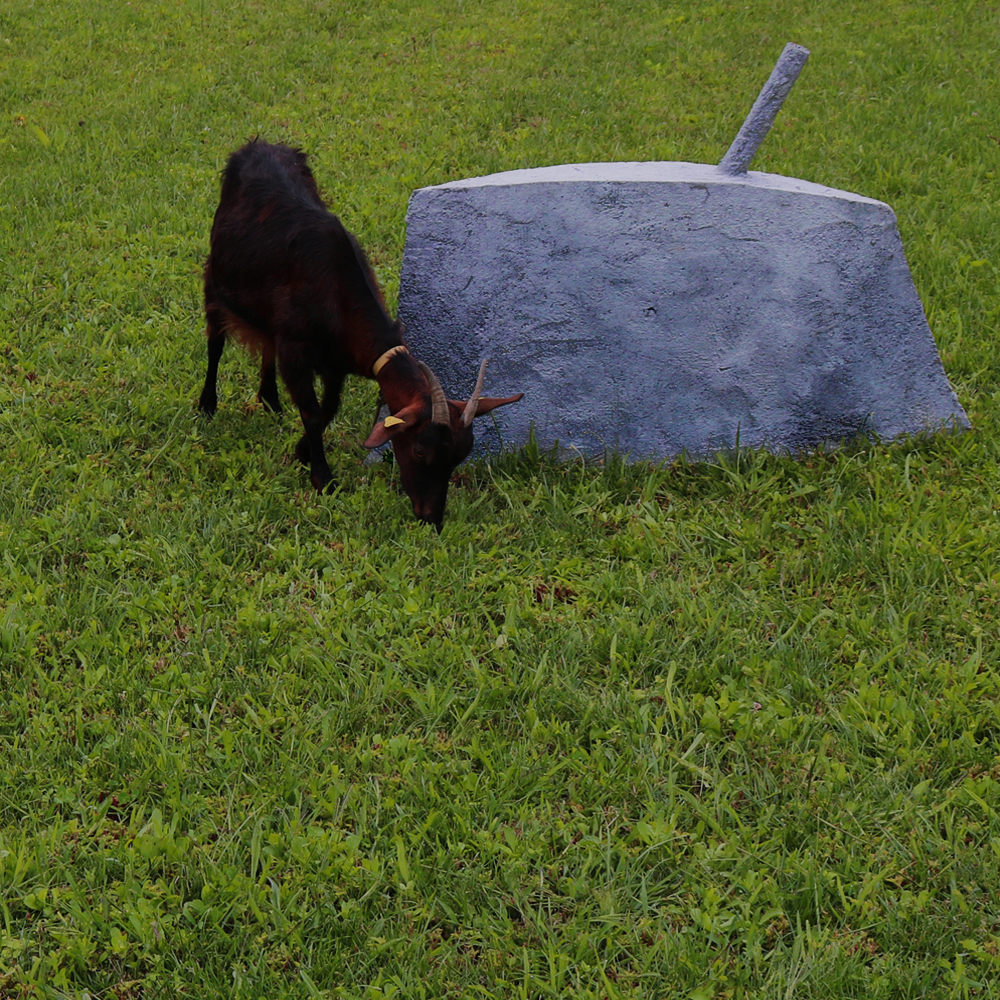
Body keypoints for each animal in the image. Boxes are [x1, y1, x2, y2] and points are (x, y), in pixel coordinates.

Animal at [197, 139, 522, 530]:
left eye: (458, 457)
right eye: (419, 449)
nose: (431, 517)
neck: (335, 294)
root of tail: (258, 145)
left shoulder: (334, 362)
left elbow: (328, 409)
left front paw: (302, 450)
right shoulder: (295, 350)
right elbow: (311, 412)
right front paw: (323, 477)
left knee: (265, 345)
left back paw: (270, 400)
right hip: (215, 284)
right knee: (215, 343)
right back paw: (207, 405)